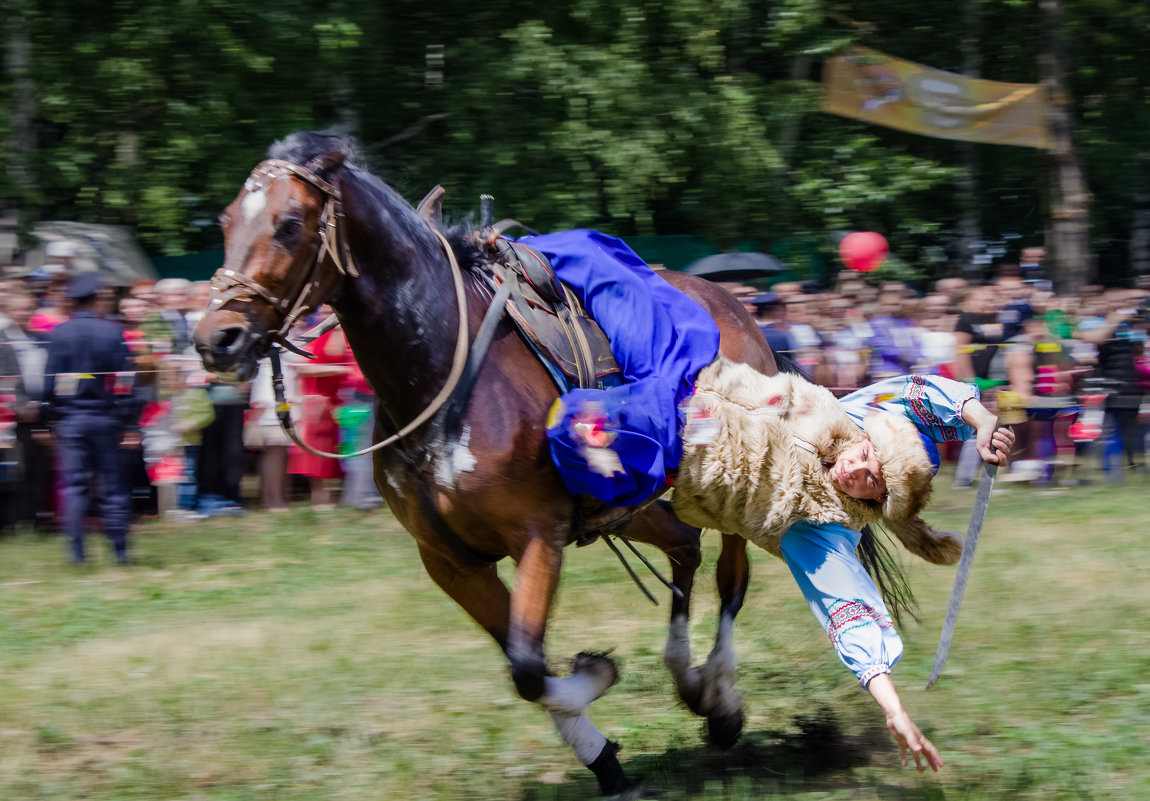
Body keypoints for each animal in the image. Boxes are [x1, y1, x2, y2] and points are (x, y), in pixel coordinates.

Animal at [190, 131, 782, 795]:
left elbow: (527, 664)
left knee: (730, 576)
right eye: (225, 221)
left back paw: (722, 697)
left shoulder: (538, 537)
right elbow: (525, 666)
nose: (216, 339)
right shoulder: (451, 560)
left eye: (290, 224)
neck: (437, 373)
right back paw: (691, 680)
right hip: (632, 505)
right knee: (685, 548)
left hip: (732, 484)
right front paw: (604, 755)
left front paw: (596, 677)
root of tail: (735, 306)